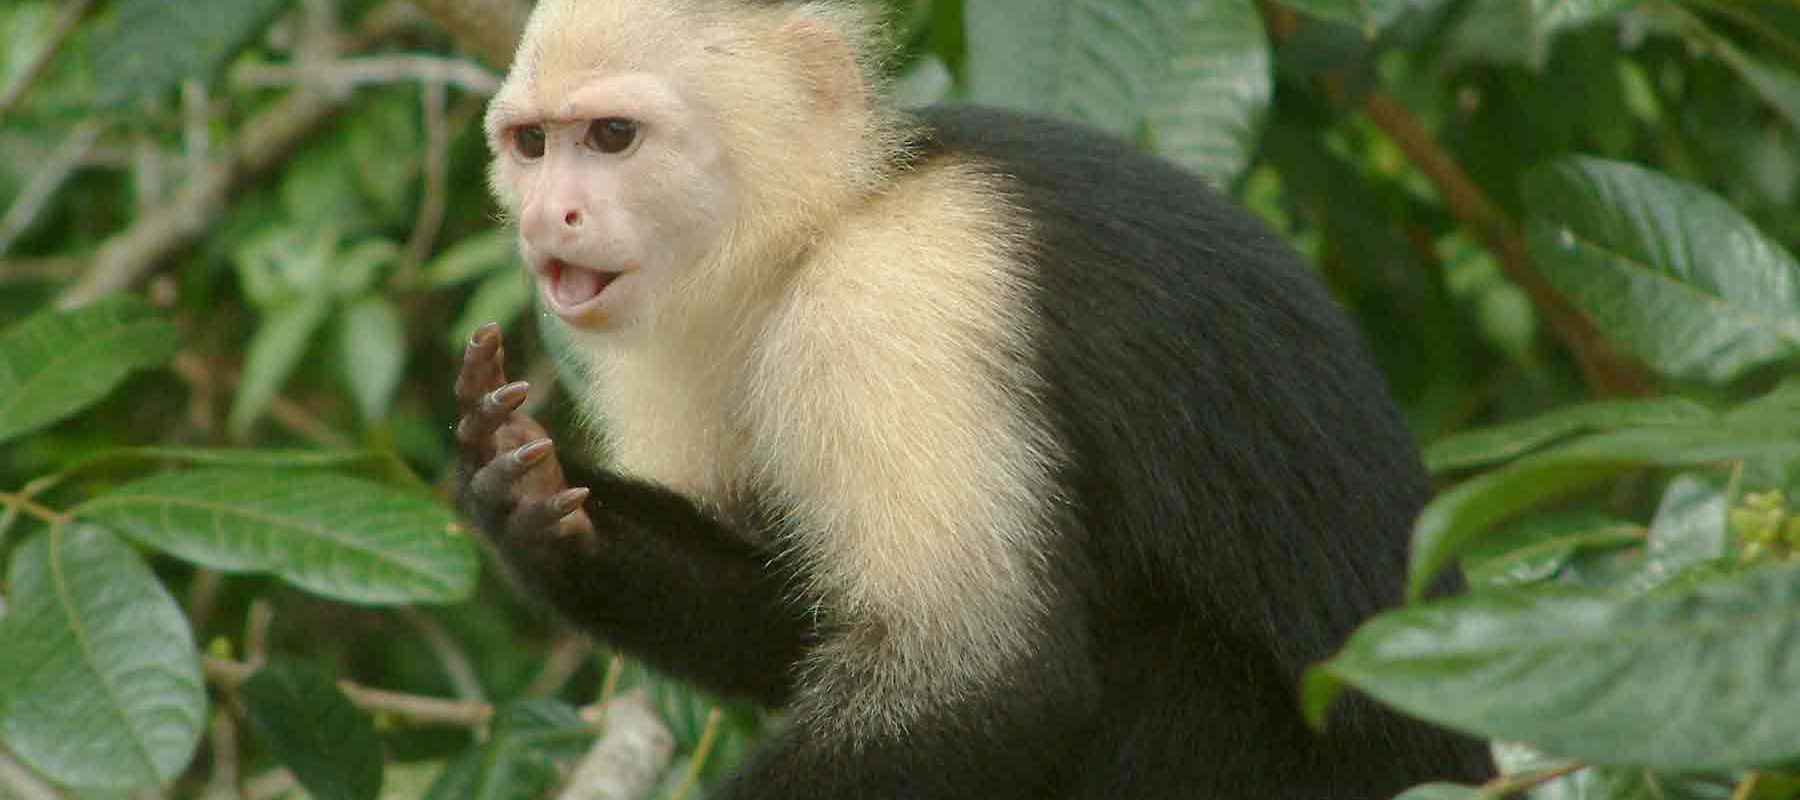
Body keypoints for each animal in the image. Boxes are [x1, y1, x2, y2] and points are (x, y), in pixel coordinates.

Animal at [453, 0, 1490, 792]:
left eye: (613, 137)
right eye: (532, 145)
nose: (549, 217)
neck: (820, 228)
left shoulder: (892, 299)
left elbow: (987, 678)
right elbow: (793, 626)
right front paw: (533, 503)